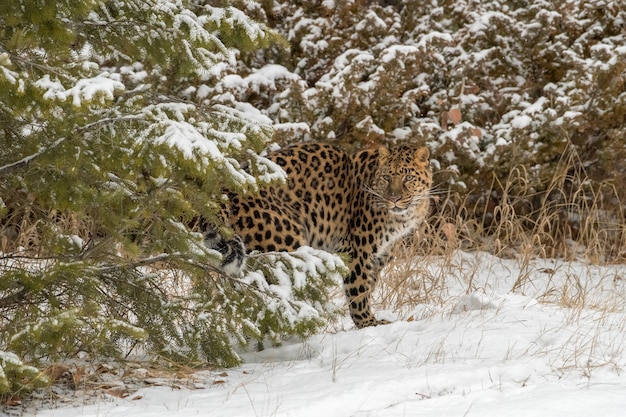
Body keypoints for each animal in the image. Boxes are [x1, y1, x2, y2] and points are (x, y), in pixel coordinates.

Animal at [204, 143, 428, 328]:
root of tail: (225, 192)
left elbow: (368, 286)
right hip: (286, 241)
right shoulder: (356, 249)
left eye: (408, 178)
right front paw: (368, 323)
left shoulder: (380, 255)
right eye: (387, 178)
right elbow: (358, 289)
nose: (394, 198)